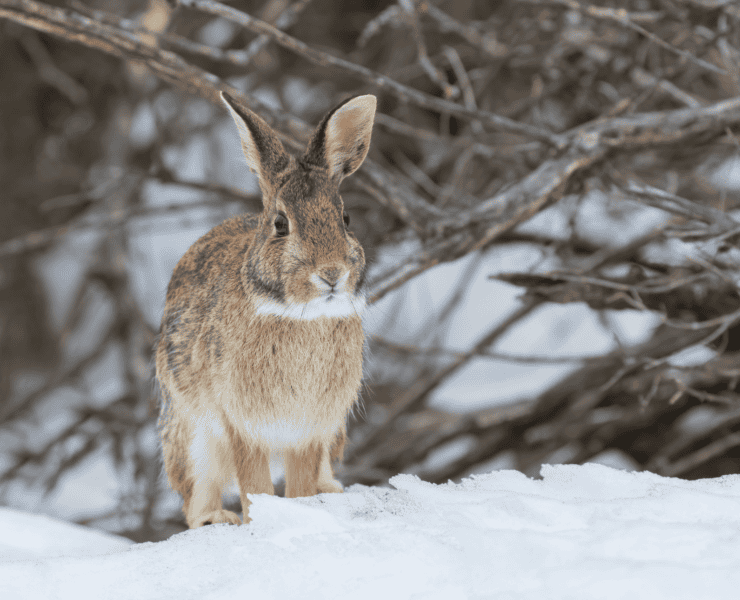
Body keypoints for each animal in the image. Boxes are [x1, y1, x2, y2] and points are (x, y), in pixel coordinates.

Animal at [156, 91, 376, 528]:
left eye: (345, 218)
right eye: (280, 224)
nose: (331, 273)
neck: (300, 314)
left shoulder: (312, 430)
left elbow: (299, 482)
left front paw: (303, 509)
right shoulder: (242, 424)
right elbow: (254, 484)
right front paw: (262, 522)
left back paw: (331, 492)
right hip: (193, 436)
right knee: (195, 492)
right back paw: (216, 519)